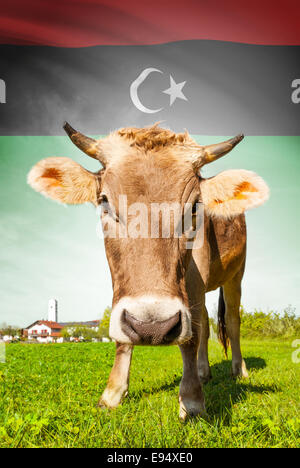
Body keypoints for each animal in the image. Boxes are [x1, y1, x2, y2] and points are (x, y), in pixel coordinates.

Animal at [27, 122, 270, 418]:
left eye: (195, 207)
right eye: (104, 201)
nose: (152, 327)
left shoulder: (196, 276)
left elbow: (191, 336)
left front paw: (192, 400)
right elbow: (125, 334)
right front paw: (112, 393)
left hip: (236, 274)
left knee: (232, 321)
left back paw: (239, 370)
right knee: (205, 324)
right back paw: (204, 372)